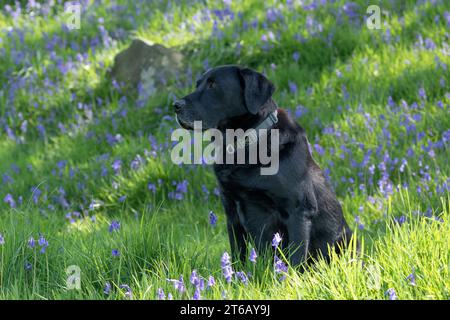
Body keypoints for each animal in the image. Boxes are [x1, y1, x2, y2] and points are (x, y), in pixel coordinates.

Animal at [174, 65, 354, 268]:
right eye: (198, 84)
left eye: (213, 85)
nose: (175, 105)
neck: (245, 144)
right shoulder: (232, 212)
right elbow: (238, 256)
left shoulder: (299, 210)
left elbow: (296, 258)